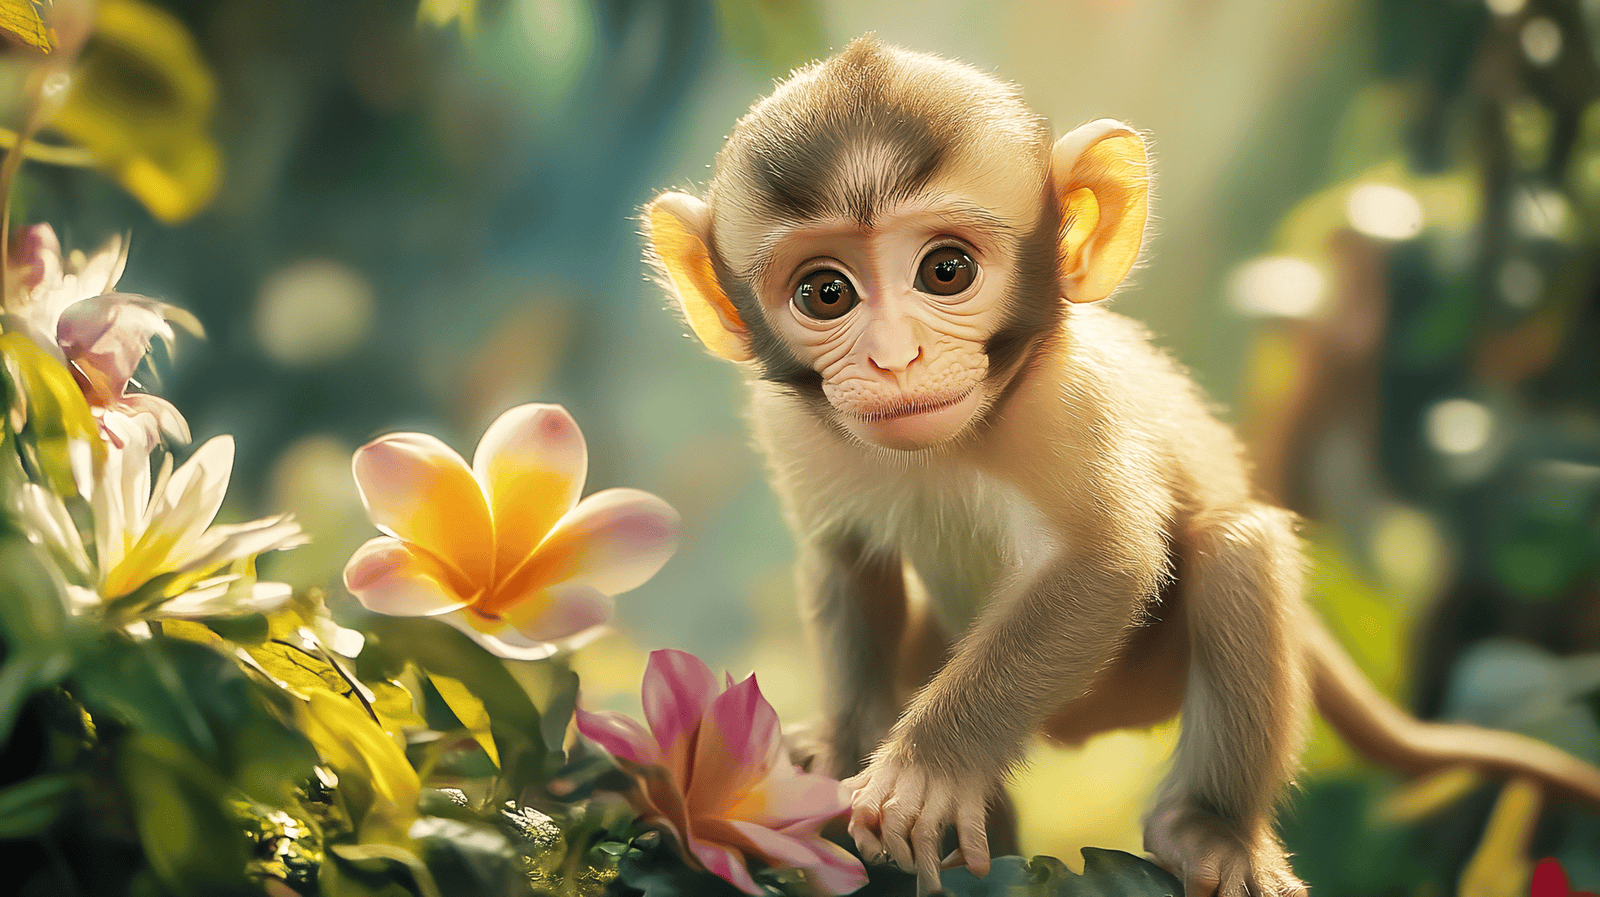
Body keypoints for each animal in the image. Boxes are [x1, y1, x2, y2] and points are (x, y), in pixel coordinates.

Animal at [641, 36, 1600, 897]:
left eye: (945, 270)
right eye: (824, 292)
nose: (892, 357)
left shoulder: (1069, 401)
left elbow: (1103, 561)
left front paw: (926, 770)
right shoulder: (794, 428)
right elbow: (847, 559)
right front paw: (841, 749)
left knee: (1238, 544)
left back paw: (1208, 827)